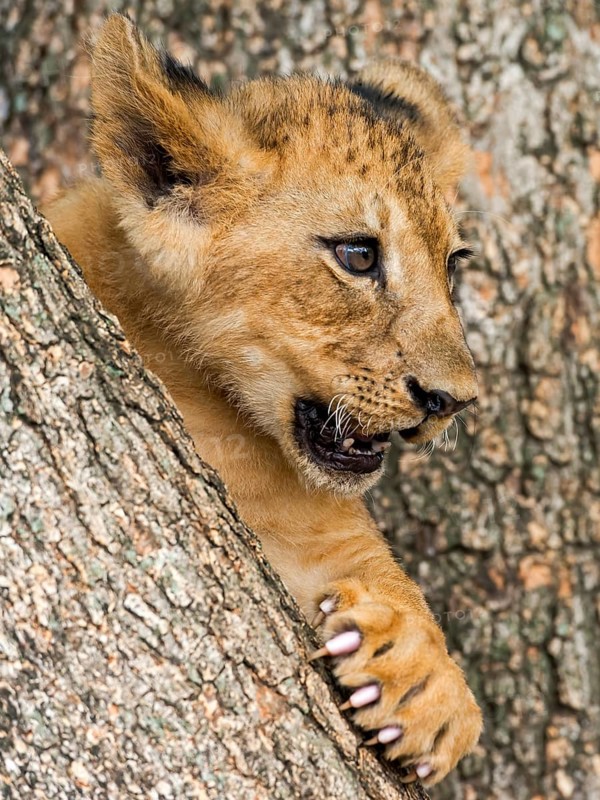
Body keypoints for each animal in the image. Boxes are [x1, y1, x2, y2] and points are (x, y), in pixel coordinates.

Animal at [44, 14, 482, 786]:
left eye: (453, 265)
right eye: (358, 255)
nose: (453, 401)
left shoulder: (322, 527)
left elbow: (384, 570)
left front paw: (427, 683)